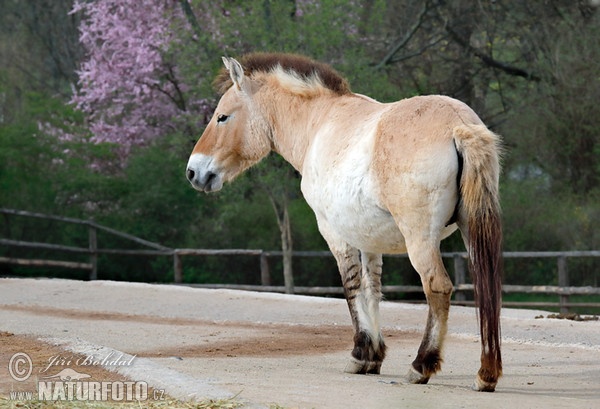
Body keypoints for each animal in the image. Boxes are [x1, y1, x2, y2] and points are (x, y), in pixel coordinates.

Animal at [185, 52, 504, 390]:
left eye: (222, 117)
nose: (194, 171)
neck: (319, 123)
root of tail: (459, 126)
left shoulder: (334, 233)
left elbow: (351, 287)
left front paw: (361, 354)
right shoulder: (369, 240)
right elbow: (372, 288)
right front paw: (375, 356)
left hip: (421, 240)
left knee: (437, 288)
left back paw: (422, 365)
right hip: (472, 232)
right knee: (487, 290)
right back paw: (486, 373)